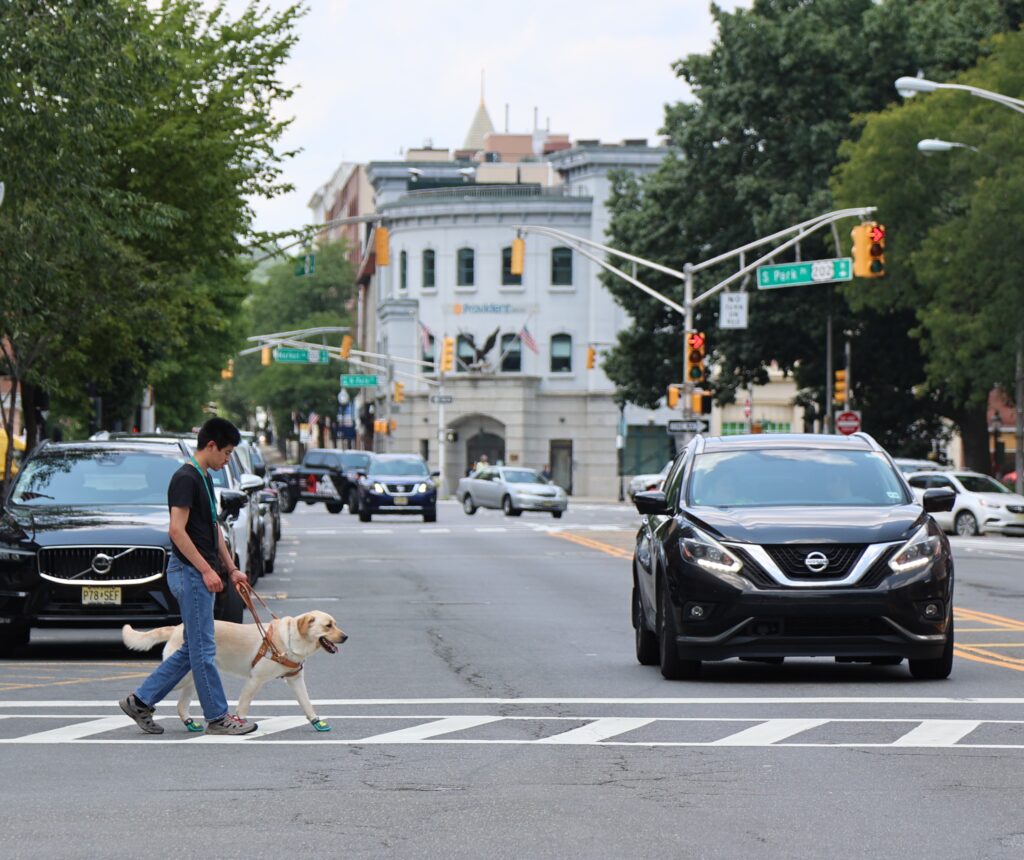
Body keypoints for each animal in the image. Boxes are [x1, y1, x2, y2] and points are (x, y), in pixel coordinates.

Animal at [122, 610, 348, 733]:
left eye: (335, 624)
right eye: (328, 626)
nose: (346, 637)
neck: (291, 639)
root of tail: (177, 627)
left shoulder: (296, 679)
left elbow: (307, 703)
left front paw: (317, 722)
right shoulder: (255, 679)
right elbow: (243, 708)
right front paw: (241, 725)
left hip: (193, 677)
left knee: (180, 705)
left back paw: (189, 723)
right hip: (182, 677)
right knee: (153, 683)